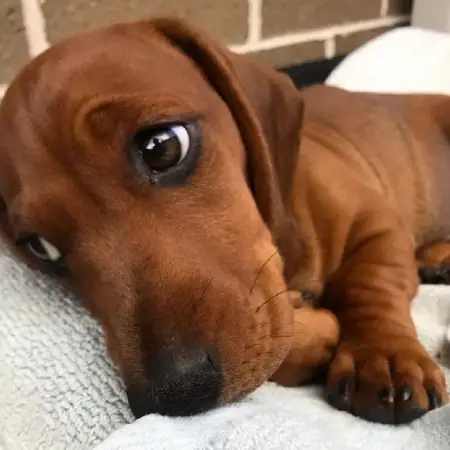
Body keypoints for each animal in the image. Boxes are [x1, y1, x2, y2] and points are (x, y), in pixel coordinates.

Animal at [0, 18, 448, 426]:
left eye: (162, 147)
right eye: (40, 246)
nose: (176, 396)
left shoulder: (379, 223)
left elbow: (369, 284)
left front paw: (383, 354)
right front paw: (313, 332)